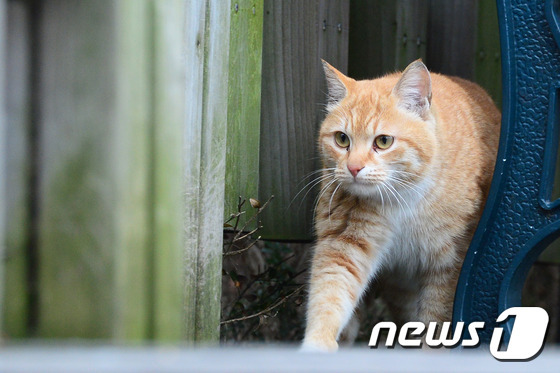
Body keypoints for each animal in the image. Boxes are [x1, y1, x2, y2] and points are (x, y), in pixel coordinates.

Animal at [304, 59, 500, 350]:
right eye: (342, 139)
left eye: (383, 141)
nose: (353, 168)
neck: (404, 199)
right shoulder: (344, 245)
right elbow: (329, 294)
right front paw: (318, 342)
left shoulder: (448, 266)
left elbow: (436, 324)